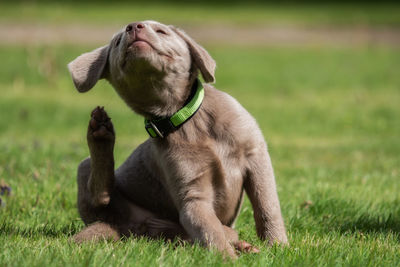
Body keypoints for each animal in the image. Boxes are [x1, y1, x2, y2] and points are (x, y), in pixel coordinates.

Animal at [69, 19, 288, 258]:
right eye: (118, 42)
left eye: (161, 31)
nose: (133, 26)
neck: (183, 115)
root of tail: (129, 229)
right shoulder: (192, 194)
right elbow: (210, 229)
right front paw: (226, 258)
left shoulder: (256, 156)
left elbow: (267, 206)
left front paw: (278, 246)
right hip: (86, 173)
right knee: (99, 196)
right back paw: (100, 132)